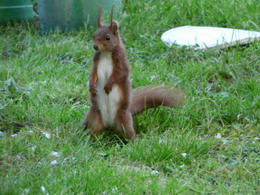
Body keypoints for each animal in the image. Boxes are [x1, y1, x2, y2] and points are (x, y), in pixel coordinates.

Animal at [83, 8, 185, 140]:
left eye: (108, 37)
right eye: (94, 35)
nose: (95, 46)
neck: (105, 54)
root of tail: (109, 125)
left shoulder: (121, 63)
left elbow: (120, 74)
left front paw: (109, 84)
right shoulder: (96, 63)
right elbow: (93, 75)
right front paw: (91, 87)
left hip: (123, 119)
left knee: (127, 133)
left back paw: (132, 141)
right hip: (95, 115)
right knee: (94, 129)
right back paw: (90, 137)